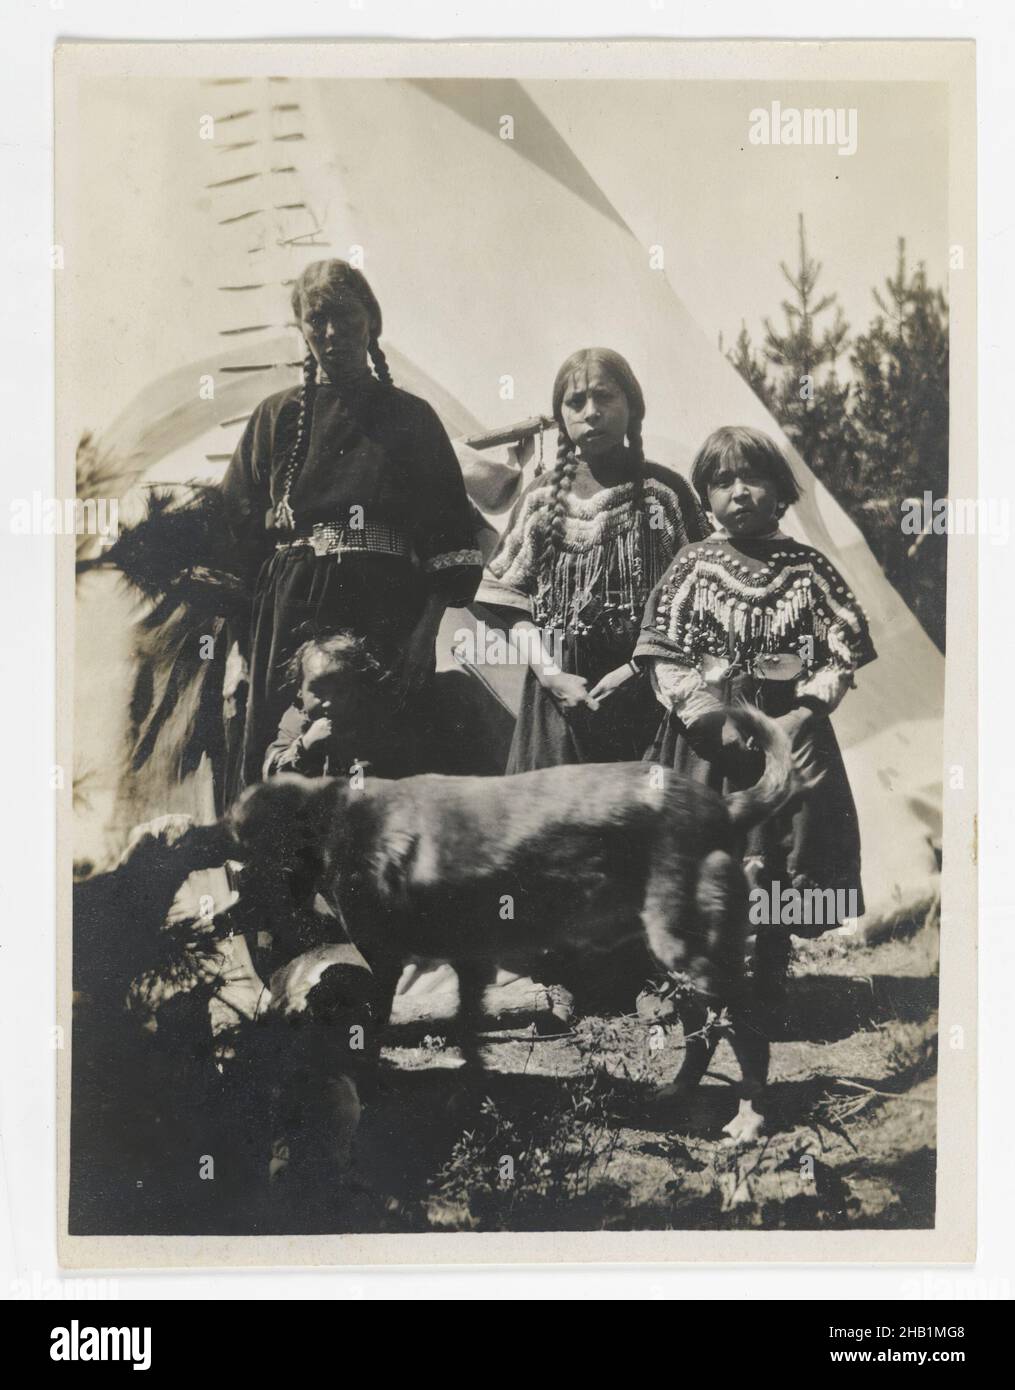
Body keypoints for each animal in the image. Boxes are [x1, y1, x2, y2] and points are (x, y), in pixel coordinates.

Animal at [228, 706, 806, 1139]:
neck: (338, 821)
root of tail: (723, 805)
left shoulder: (386, 962)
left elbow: (374, 1037)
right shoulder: (468, 963)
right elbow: (466, 1036)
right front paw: (469, 1093)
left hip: (687, 951)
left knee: (747, 1031)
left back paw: (750, 1118)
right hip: (667, 953)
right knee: (702, 1031)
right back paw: (679, 1090)